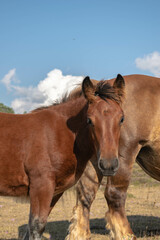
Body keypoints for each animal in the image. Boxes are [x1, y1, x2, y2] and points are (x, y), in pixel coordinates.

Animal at [0, 74, 125, 238]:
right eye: (89, 120)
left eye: (122, 118)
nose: (109, 165)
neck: (58, 135)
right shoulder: (41, 187)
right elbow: (36, 227)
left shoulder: (54, 192)